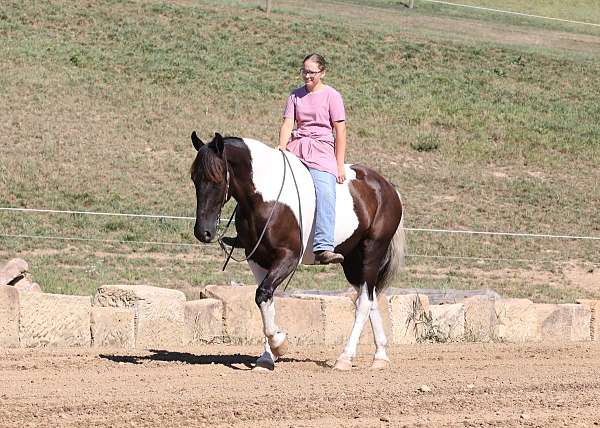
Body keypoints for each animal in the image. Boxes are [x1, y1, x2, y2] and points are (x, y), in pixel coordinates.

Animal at [190, 131, 406, 372]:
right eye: (194, 179)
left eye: (217, 178)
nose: (203, 232)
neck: (267, 197)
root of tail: (387, 187)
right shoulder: (257, 259)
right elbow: (266, 299)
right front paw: (267, 357)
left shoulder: (288, 257)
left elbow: (262, 294)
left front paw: (279, 344)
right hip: (352, 261)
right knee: (370, 298)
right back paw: (380, 356)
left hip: (371, 251)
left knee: (364, 303)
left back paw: (345, 357)